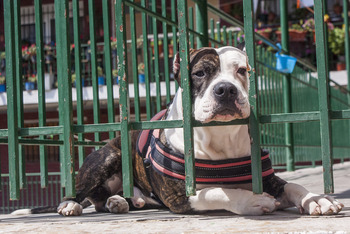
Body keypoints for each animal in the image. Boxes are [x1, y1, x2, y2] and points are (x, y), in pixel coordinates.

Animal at [11, 45, 344, 216]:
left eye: (242, 71)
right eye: (199, 73)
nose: (225, 89)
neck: (220, 140)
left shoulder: (269, 178)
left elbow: (294, 186)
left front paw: (317, 199)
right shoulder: (179, 196)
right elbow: (217, 191)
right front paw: (251, 201)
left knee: (104, 198)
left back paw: (121, 201)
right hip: (106, 157)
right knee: (84, 192)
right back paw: (70, 204)